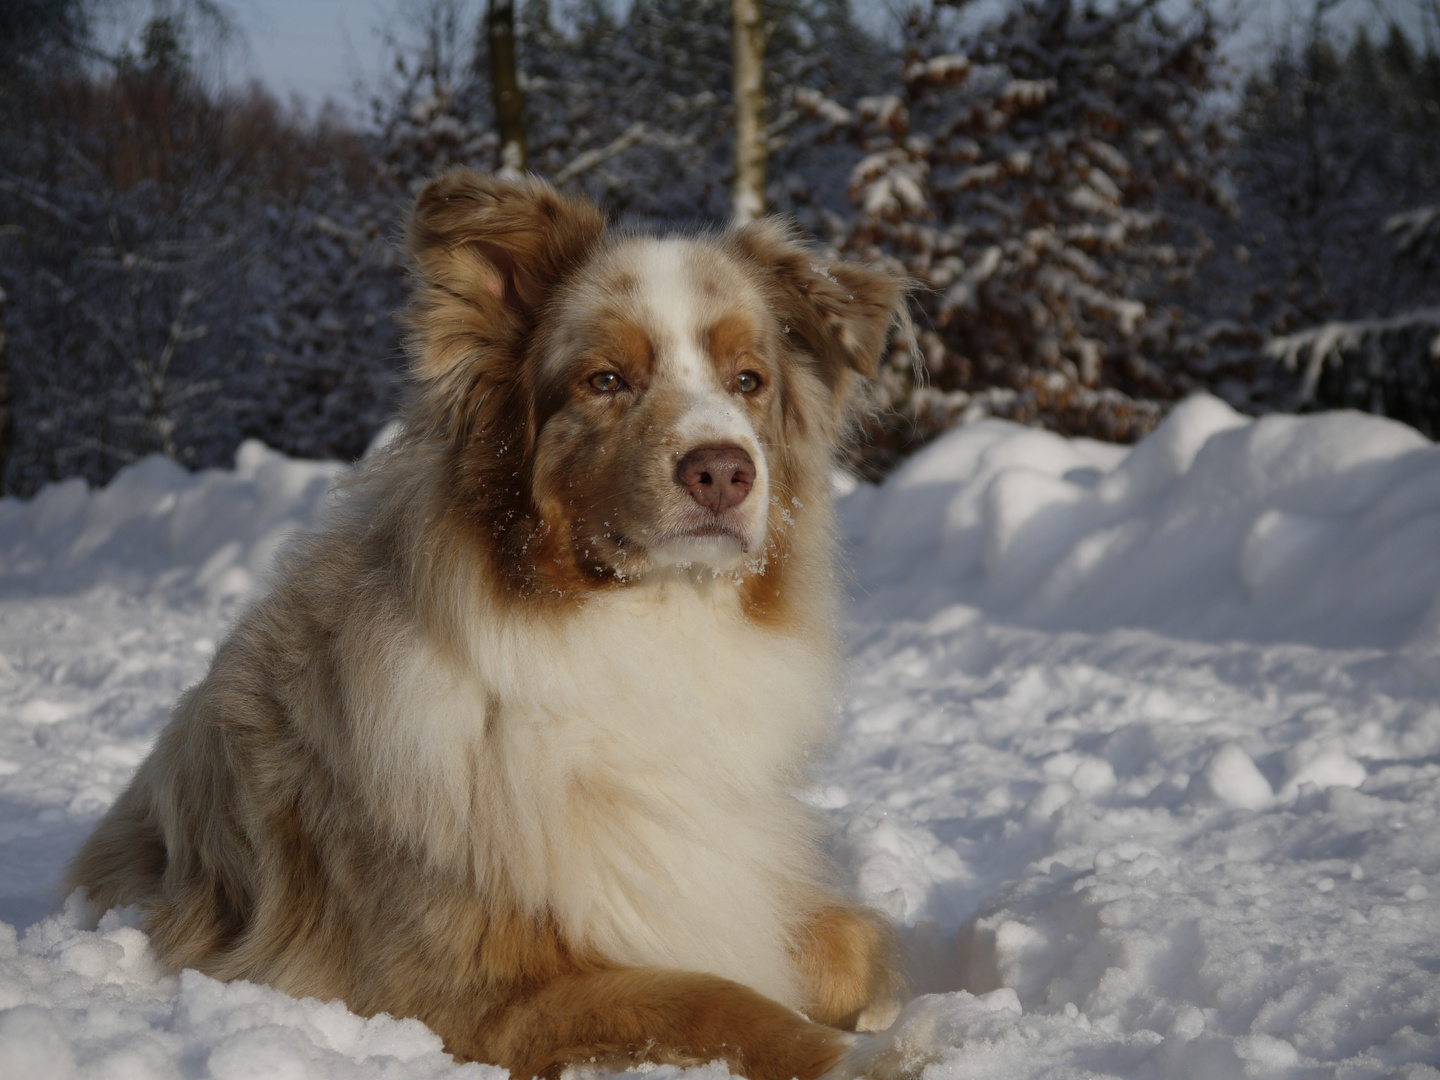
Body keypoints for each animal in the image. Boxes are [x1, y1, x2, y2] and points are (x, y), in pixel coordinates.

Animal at [64, 173, 910, 1077]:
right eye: (605, 381)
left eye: (749, 380)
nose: (722, 470)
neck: (644, 625)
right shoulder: (466, 994)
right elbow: (716, 1002)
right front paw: (881, 1051)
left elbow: (849, 937)